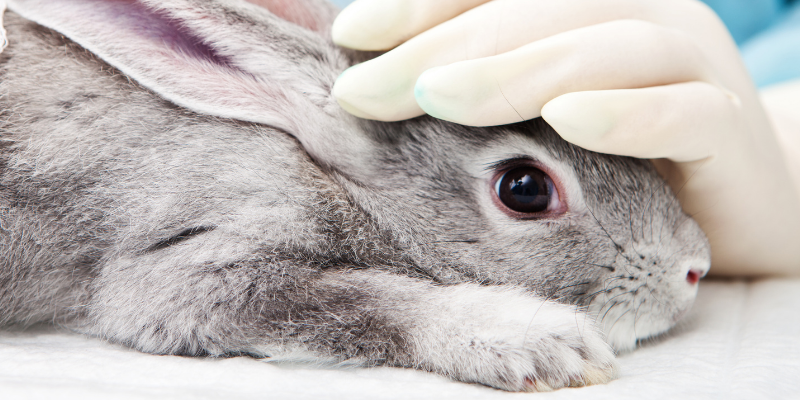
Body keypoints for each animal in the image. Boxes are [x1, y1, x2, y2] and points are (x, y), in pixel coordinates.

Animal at [0, 0, 711, 392]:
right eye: (525, 188)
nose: (695, 267)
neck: (332, 177)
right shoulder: (190, 264)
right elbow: (363, 301)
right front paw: (540, 342)